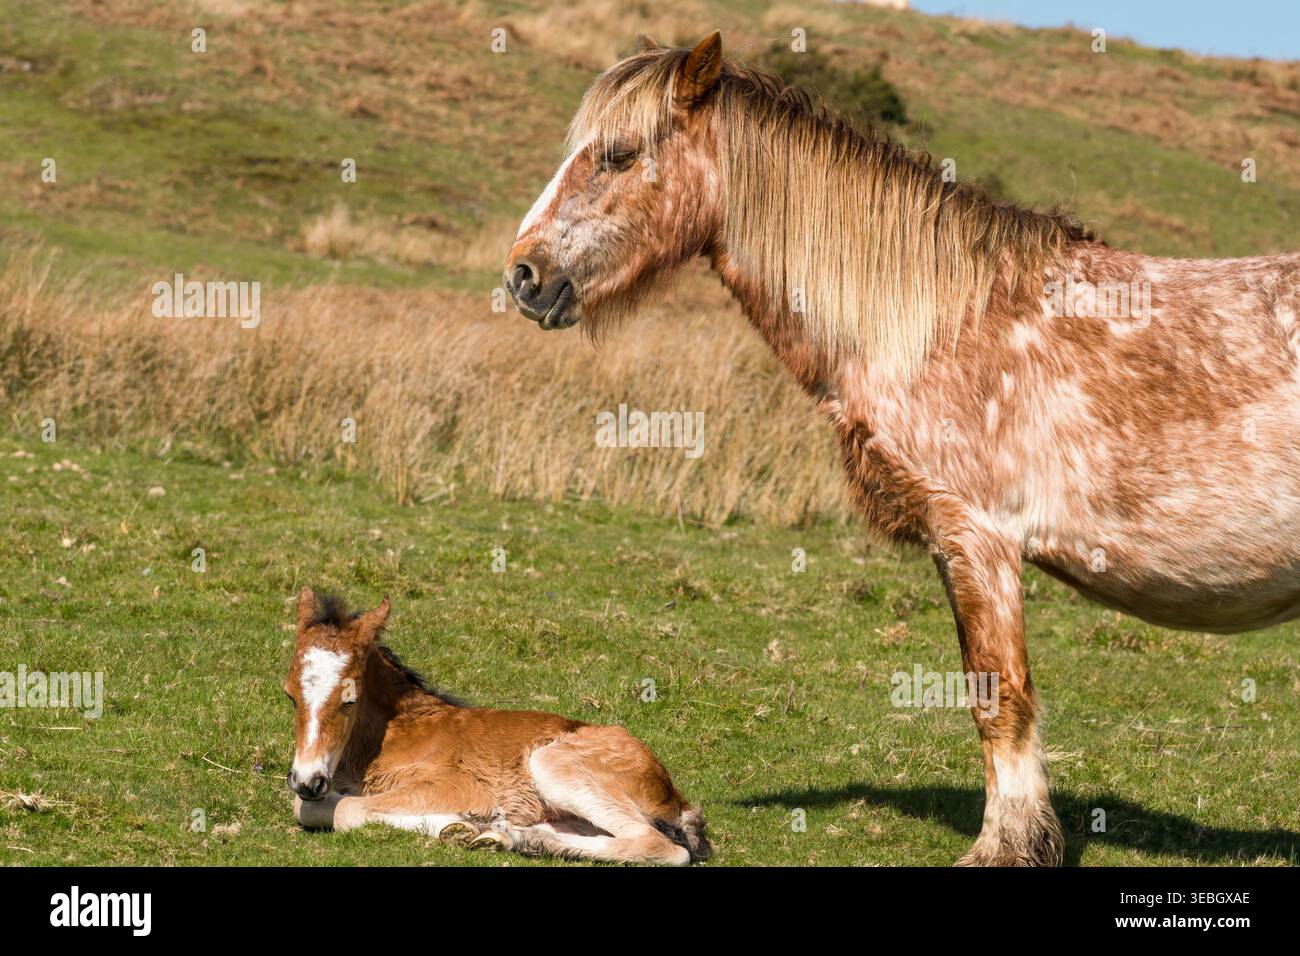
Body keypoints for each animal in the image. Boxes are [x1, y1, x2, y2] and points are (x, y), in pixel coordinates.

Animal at [284, 588, 709, 865]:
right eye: (289, 695)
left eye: (350, 699)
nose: (308, 779)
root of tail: (674, 795)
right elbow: (311, 805)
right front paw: (465, 828)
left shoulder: (456, 786)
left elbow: (341, 809)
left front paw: (463, 823)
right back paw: (516, 837)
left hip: (554, 764)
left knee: (661, 846)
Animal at [504, 32, 1300, 866]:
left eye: (619, 155)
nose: (523, 275)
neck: (943, 322)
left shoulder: (980, 541)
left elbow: (998, 697)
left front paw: (1003, 846)